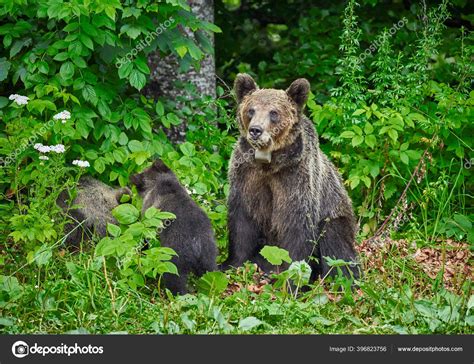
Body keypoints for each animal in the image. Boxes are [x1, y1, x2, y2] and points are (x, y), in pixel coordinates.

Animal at [222, 73, 360, 278]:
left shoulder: (295, 177)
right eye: (251, 110)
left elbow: (297, 225)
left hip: (335, 213)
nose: (255, 130)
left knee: (336, 245)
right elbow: (242, 221)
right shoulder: (246, 175)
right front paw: (231, 264)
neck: (268, 163)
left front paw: (294, 276)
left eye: (274, 113)